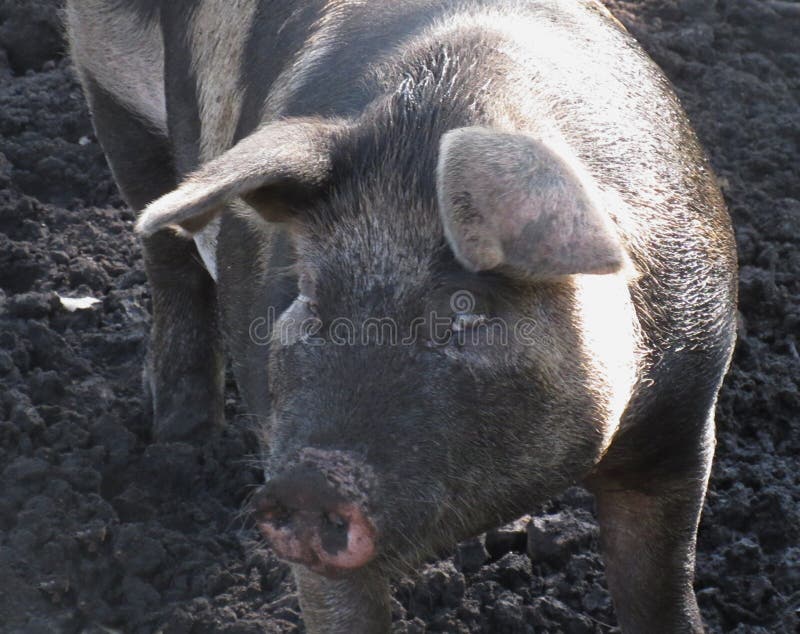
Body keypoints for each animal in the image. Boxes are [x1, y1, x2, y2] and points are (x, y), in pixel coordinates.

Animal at [66, 1, 737, 632]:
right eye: (309, 293)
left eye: (465, 307)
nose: (310, 484)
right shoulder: (281, 430)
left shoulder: (685, 414)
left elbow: (656, 588)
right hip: (109, 77)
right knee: (163, 243)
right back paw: (178, 433)